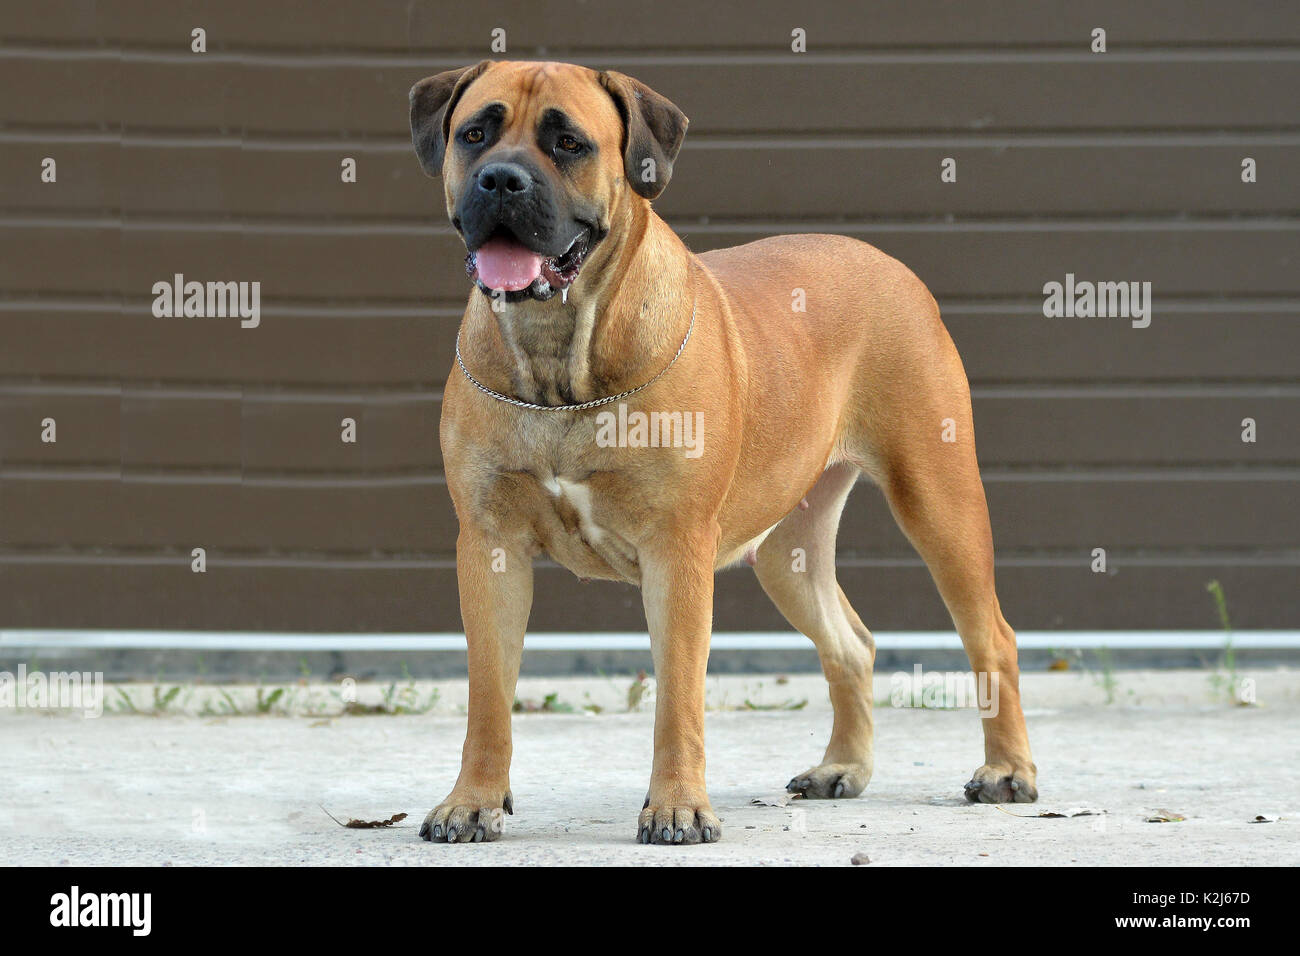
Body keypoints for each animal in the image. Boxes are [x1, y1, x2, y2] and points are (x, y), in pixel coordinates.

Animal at [405, 59, 1034, 842]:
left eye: (569, 142)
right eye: (475, 134)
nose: (500, 180)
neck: (558, 356)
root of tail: (892, 265)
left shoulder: (676, 551)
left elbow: (678, 696)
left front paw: (676, 806)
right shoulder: (491, 546)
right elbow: (488, 696)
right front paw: (473, 801)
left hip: (938, 501)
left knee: (992, 636)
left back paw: (1007, 771)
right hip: (789, 552)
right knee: (850, 645)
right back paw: (841, 768)